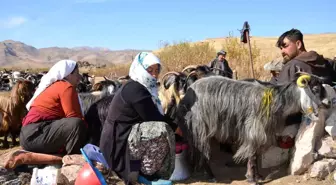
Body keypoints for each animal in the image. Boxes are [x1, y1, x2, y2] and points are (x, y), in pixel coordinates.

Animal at [176, 74, 330, 185]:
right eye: (315, 89)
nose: (328, 103)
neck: (276, 100)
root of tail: (186, 95)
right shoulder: (254, 131)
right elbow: (251, 155)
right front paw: (251, 179)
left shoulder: (262, 133)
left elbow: (255, 156)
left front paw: (258, 176)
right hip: (199, 127)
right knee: (202, 150)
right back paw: (211, 176)